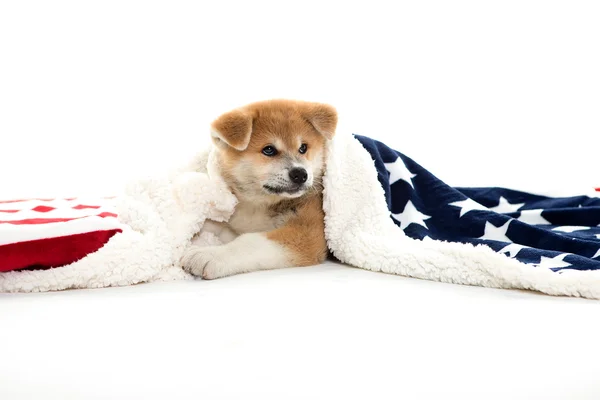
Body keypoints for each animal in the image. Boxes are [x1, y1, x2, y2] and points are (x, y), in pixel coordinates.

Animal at [180, 99, 336, 280]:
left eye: (303, 148)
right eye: (269, 150)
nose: (300, 174)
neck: (260, 204)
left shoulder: (308, 233)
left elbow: (250, 241)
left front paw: (210, 255)